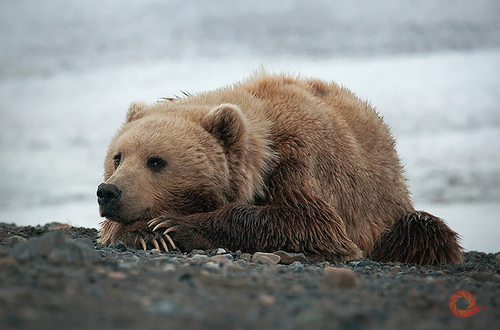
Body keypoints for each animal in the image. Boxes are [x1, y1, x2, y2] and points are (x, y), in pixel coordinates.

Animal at [97, 73, 464, 266]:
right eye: (118, 156)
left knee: (421, 231)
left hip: (387, 208)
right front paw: (148, 234)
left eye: (156, 161)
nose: (108, 192)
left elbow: (311, 223)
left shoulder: (298, 162)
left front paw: (174, 226)